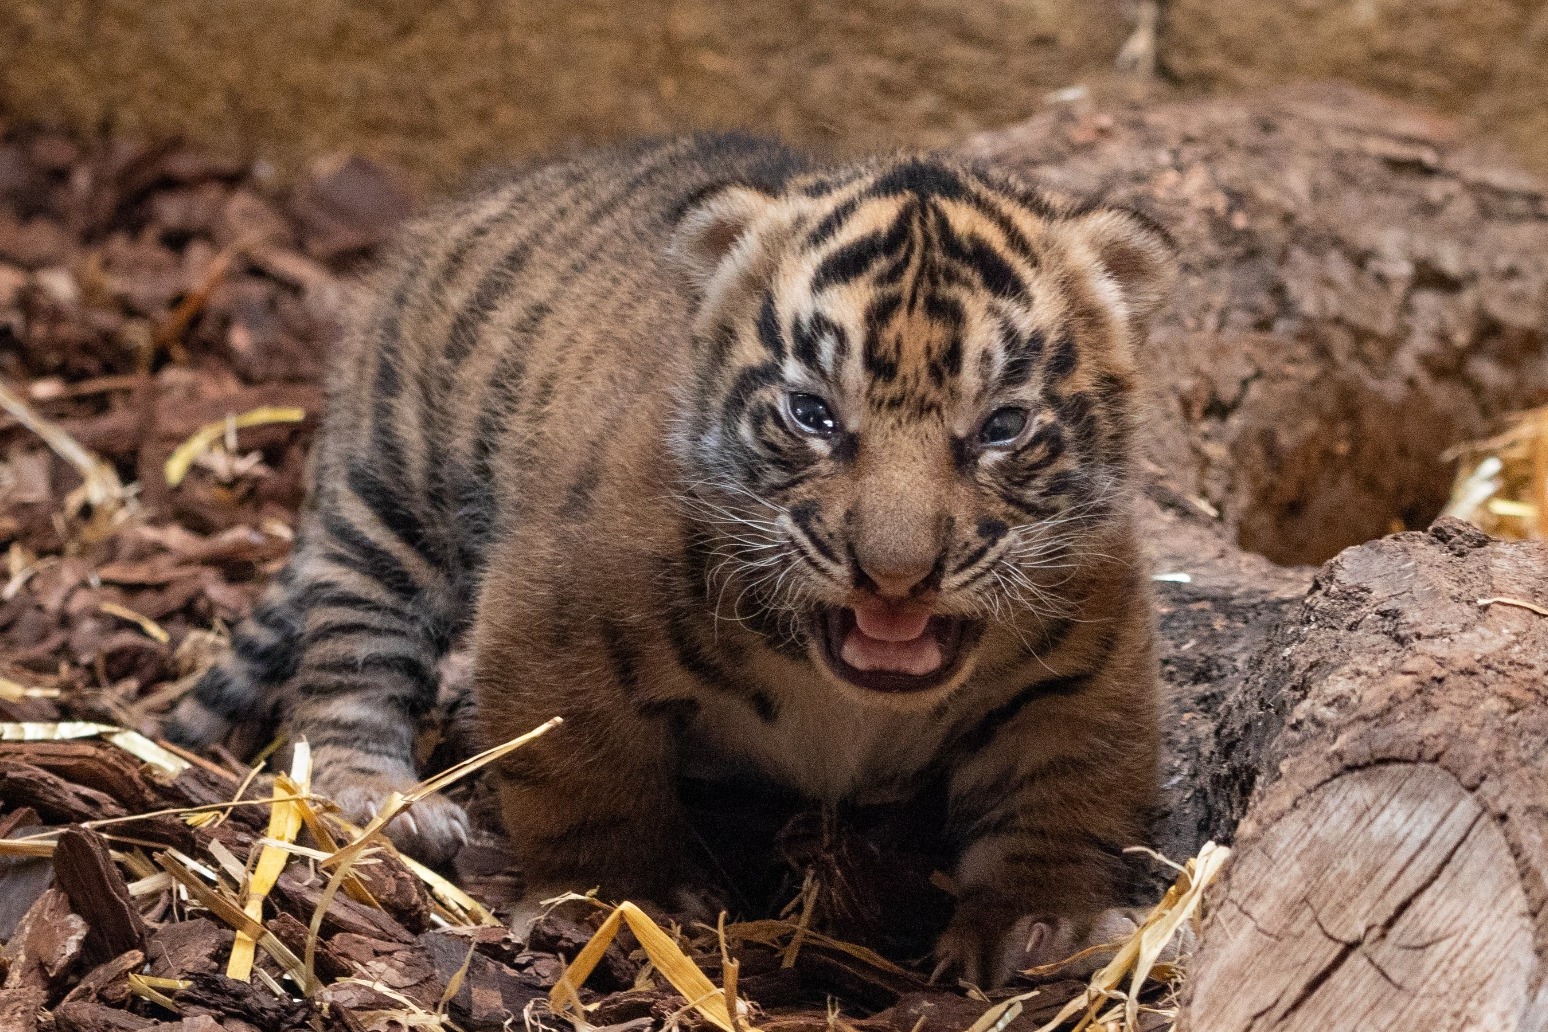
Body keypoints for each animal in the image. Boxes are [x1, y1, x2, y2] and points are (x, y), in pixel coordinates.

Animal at [166, 133, 1174, 986]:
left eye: (1002, 427)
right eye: (814, 415)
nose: (895, 575)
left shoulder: (1086, 665)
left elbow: (1061, 799)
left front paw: (1036, 926)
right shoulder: (553, 621)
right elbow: (587, 785)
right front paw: (616, 906)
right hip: (395, 488)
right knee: (351, 643)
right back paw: (383, 796)